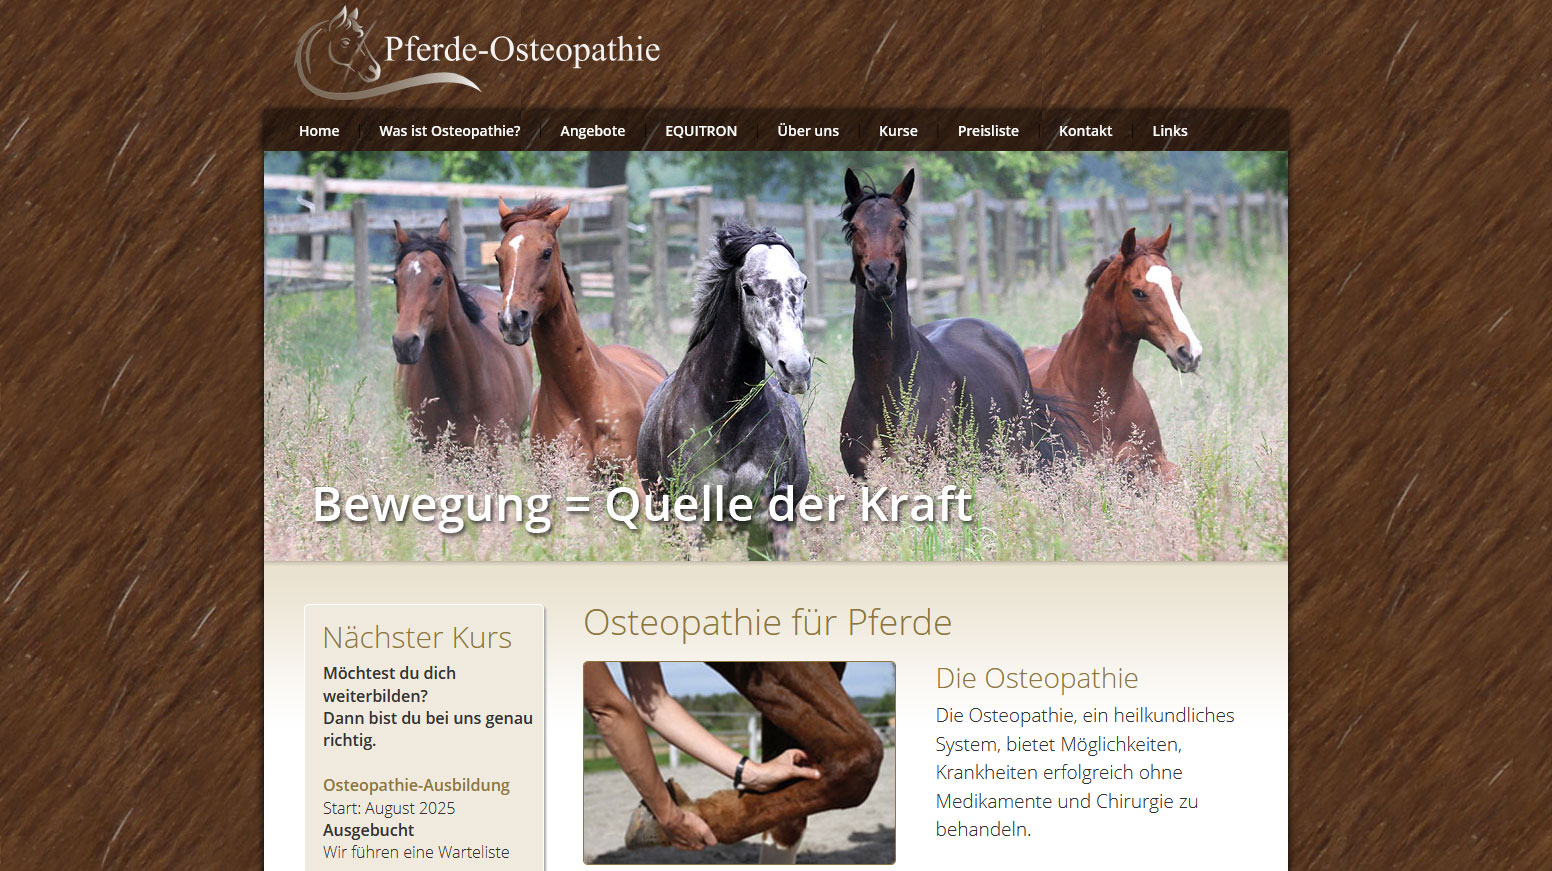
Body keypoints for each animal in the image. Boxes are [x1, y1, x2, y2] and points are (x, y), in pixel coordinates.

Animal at [637, 223, 812, 559]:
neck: (724, 418)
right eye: (748, 287)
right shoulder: (691, 520)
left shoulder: (770, 519)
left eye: (803, 283)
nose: (796, 368)